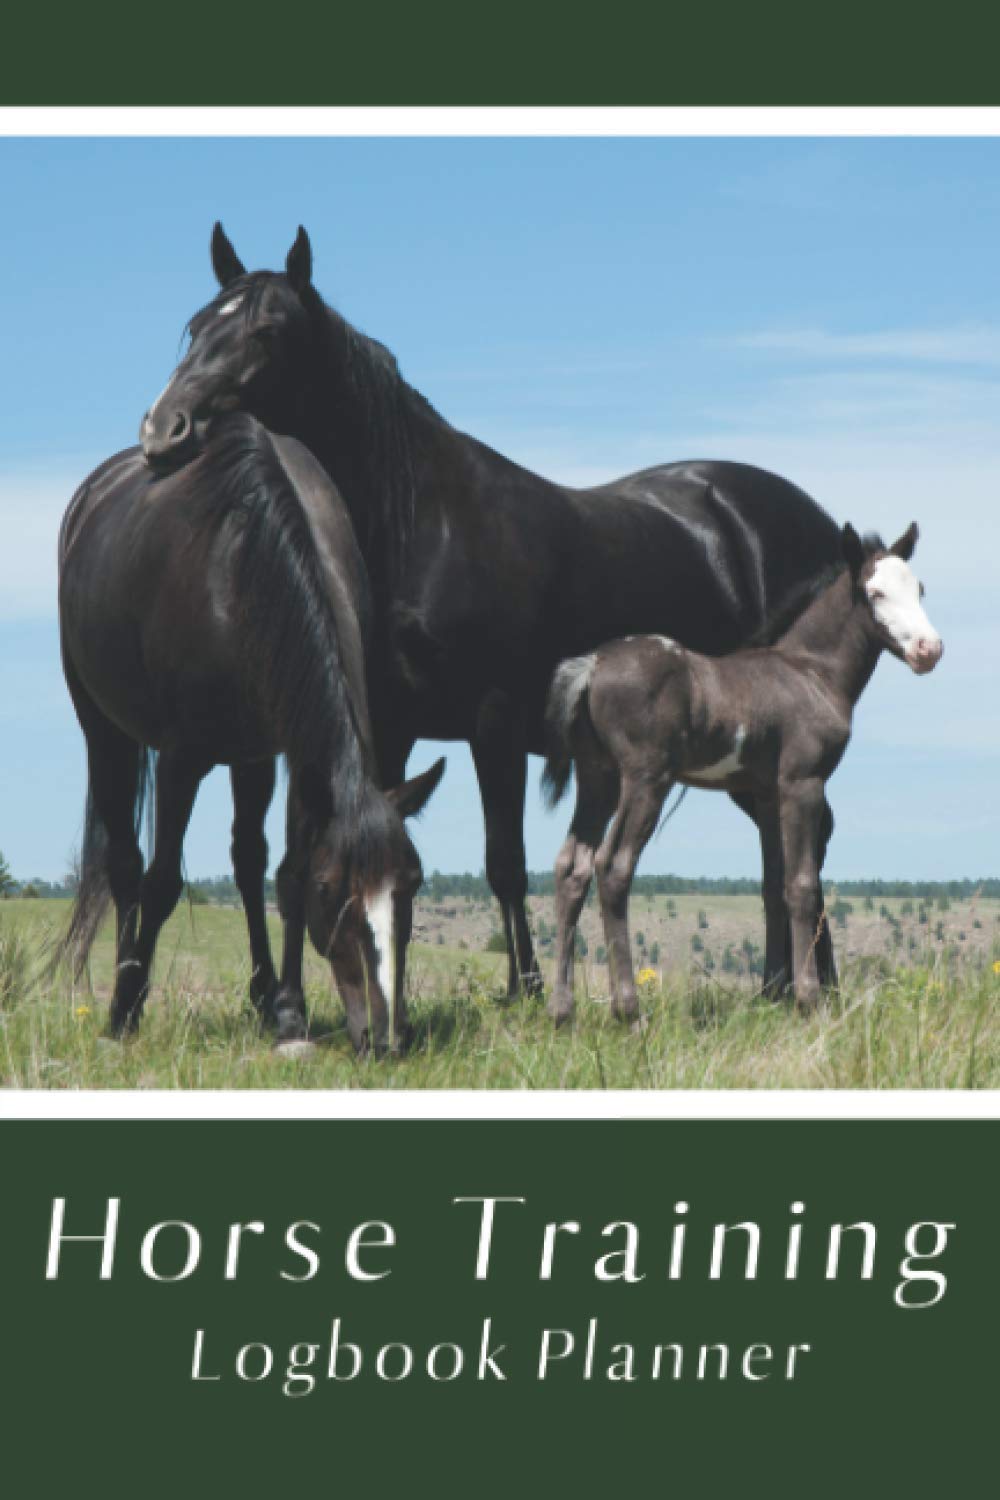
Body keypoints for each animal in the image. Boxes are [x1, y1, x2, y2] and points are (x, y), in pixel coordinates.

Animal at [57, 412, 444, 1051]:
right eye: (333, 891)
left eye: (411, 884)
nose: (387, 1035)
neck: (247, 568)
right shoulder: (181, 759)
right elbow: (163, 881)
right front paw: (126, 1009)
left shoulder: (291, 747)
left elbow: (283, 874)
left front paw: (288, 1010)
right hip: (103, 728)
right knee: (126, 864)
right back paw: (123, 995)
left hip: (250, 754)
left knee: (245, 858)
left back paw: (264, 997)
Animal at [138, 223, 847, 1001]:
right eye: (198, 325)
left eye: (267, 331)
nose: (163, 431)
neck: (422, 528)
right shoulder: (392, 725)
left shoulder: (495, 720)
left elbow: (505, 859)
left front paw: (528, 987)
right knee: (786, 842)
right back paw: (786, 984)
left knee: (802, 839)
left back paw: (806, 984)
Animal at [541, 523, 943, 1020]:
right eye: (876, 592)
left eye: (919, 589)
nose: (929, 649)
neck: (810, 671)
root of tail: (592, 665)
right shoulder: (802, 784)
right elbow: (802, 884)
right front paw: (809, 1000)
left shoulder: (767, 795)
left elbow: (773, 887)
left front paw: (772, 995)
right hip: (645, 779)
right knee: (613, 867)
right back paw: (629, 1012)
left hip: (597, 777)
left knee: (571, 868)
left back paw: (562, 1012)